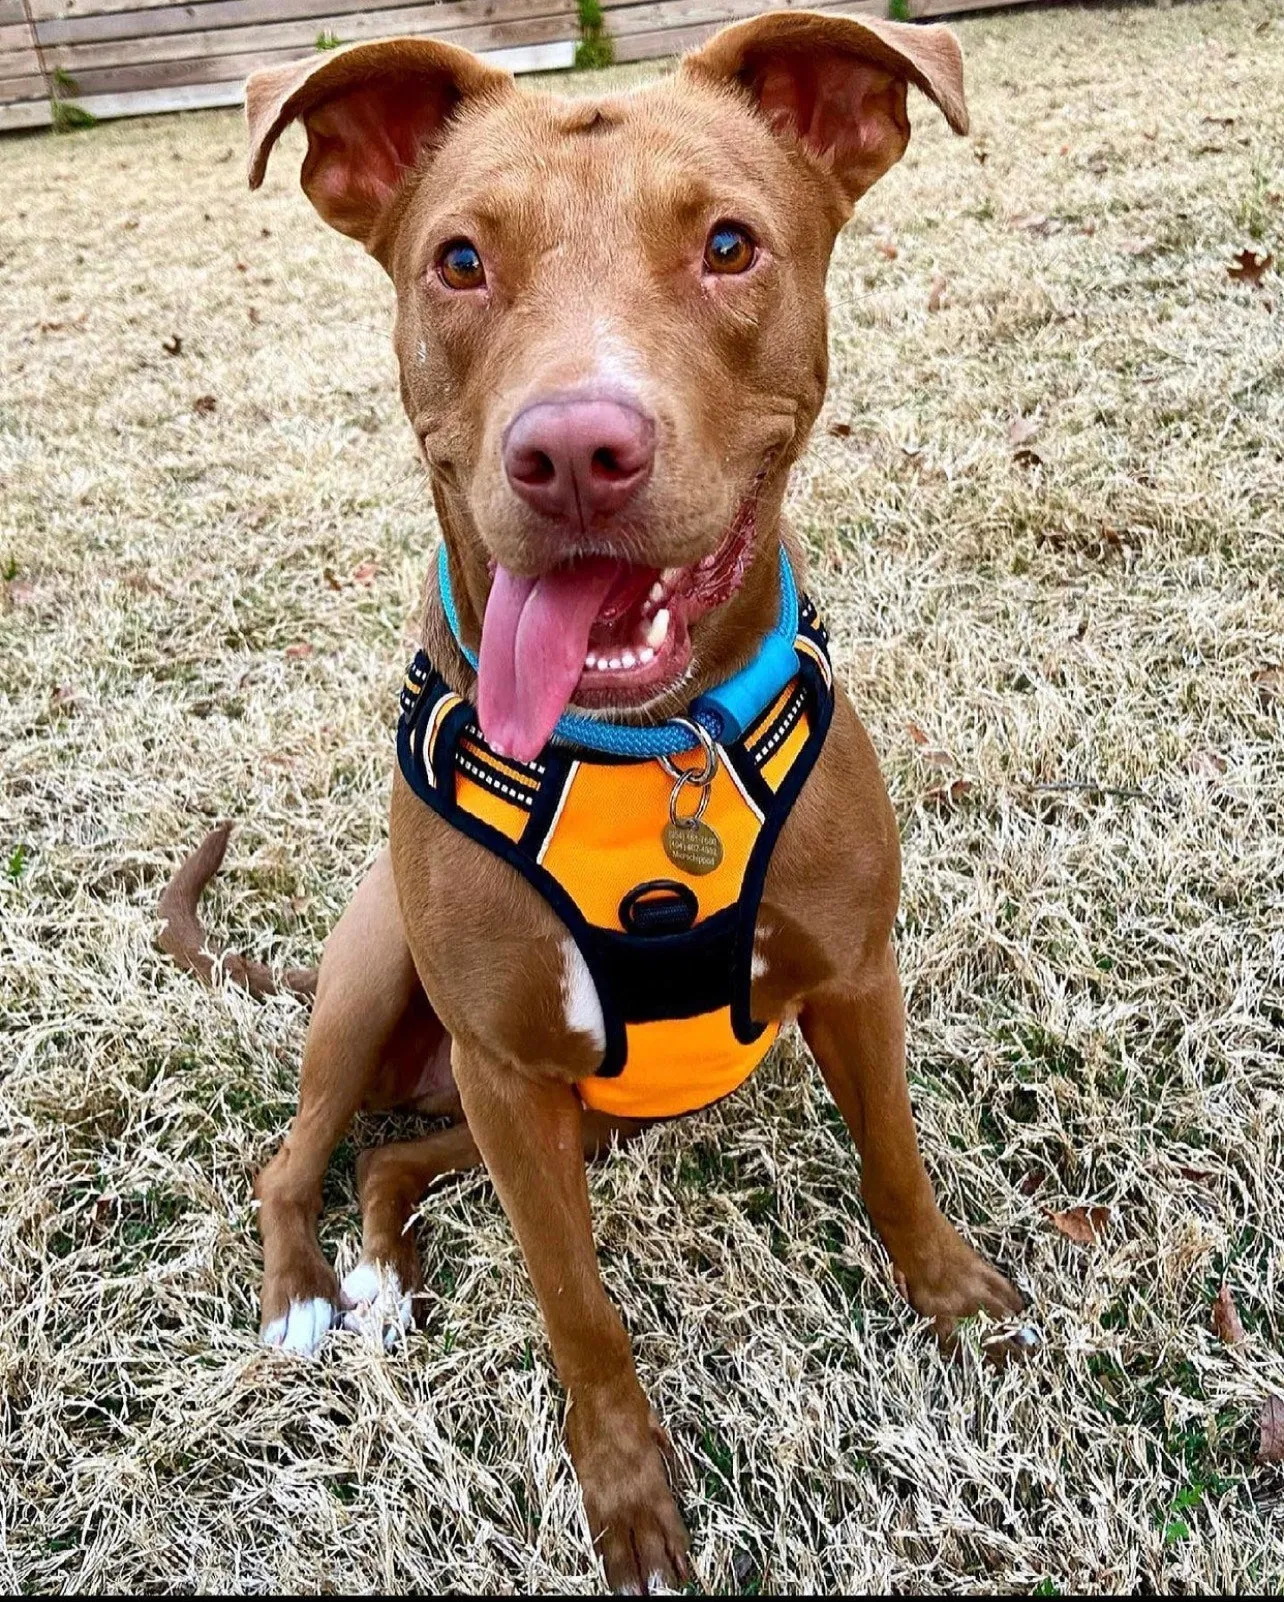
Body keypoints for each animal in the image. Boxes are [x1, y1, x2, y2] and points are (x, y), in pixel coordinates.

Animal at [160, 18, 1019, 1595]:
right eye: (458, 260)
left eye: (730, 244)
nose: (572, 452)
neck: (645, 750)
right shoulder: (511, 1069)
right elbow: (578, 1308)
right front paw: (626, 1492)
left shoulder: (854, 978)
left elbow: (896, 1162)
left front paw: (953, 1297)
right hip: (382, 987)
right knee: (294, 1156)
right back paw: (310, 1293)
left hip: (557, 1114)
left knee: (401, 1163)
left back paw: (385, 1267)